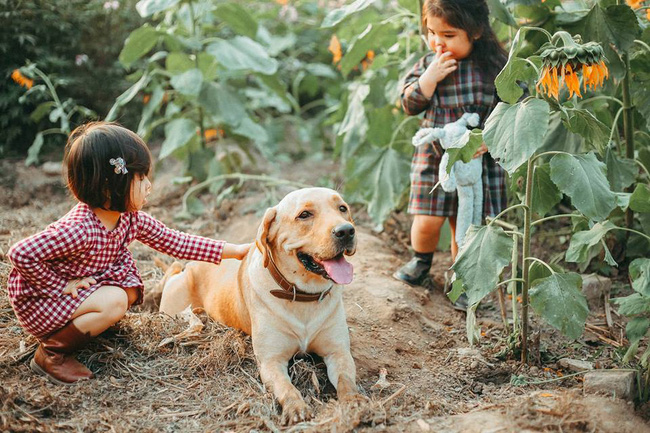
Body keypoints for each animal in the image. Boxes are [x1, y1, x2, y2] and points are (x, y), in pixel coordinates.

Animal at [159, 186, 356, 422]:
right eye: (305, 215)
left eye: (342, 208)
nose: (347, 231)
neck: (302, 295)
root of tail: (190, 266)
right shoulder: (271, 361)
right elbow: (286, 387)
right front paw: (296, 407)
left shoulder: (338, 352)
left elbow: (346, 380)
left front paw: (356, 403)